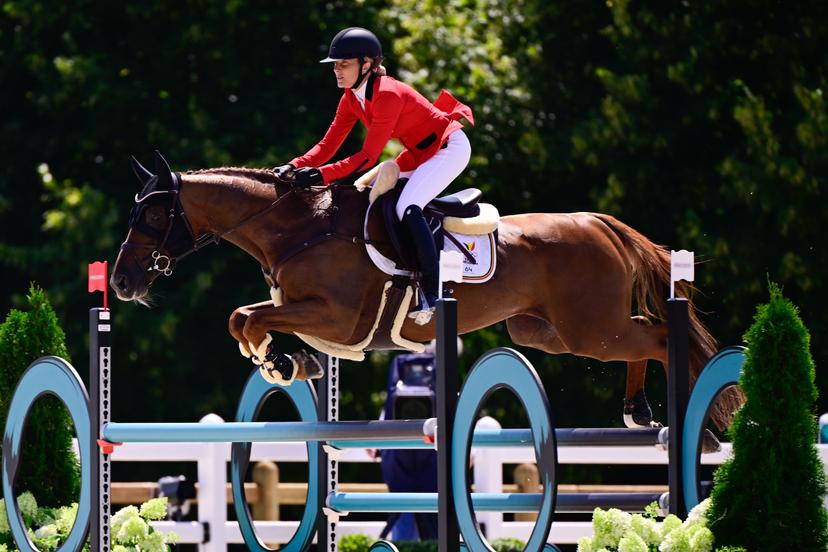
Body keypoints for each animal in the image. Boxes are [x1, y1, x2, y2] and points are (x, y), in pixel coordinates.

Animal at [111, 151, 743, 434]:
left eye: (154, 216)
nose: (119, 282)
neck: (298, 227)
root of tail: (598, 222)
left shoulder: (337, 318)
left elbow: (249, 317)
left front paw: (283, 363)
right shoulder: (307, 313)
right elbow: (244, 319)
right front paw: (287, 363)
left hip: (591, 328)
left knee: (658, 337)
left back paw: (667, 414)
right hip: (550, 333)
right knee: (643, 340)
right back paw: (639, 412)